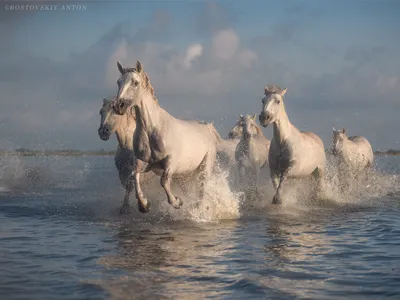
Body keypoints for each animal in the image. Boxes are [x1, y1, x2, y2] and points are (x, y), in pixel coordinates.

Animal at [111, 59, 222, 213]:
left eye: (135, 82)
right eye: (118, 82)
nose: (118, 106)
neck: (152, 130)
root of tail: (208, 127)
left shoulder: (170, 163)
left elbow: (163, 181)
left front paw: (177, 202)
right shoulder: (142, 162)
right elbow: (135, 177)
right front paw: (144, 205)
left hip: (205, 167)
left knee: (202, 188)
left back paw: (199, 208)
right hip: (186, 174)